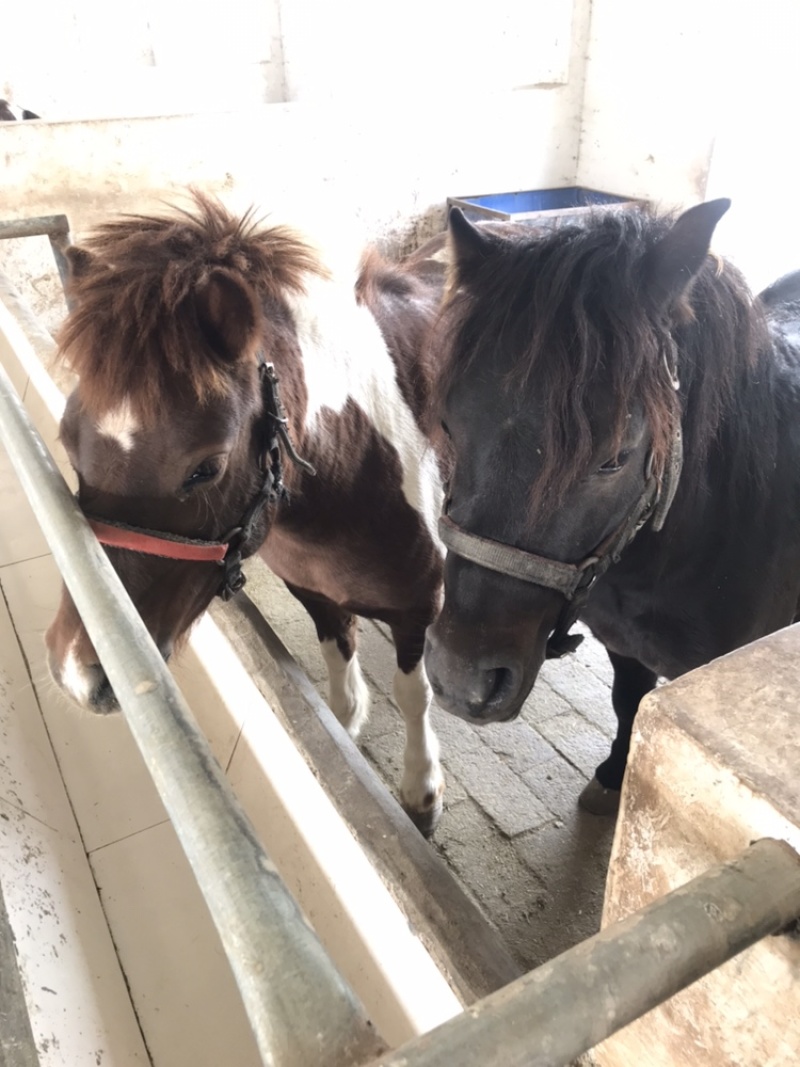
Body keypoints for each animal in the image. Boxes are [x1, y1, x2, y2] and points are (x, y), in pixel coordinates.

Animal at [44, 193, 450, 834]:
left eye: (206, 468)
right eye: (67, 435)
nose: (78, 673)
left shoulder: (418, 608)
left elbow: (414, 694)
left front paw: (422, 792)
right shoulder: (316, 592)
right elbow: (340, 671)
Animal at [424, 199, 800, 815]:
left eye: (614, 459)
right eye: (449, 425)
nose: (460, 679)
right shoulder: (624, 648)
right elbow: (630, 701)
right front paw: (614, 773)